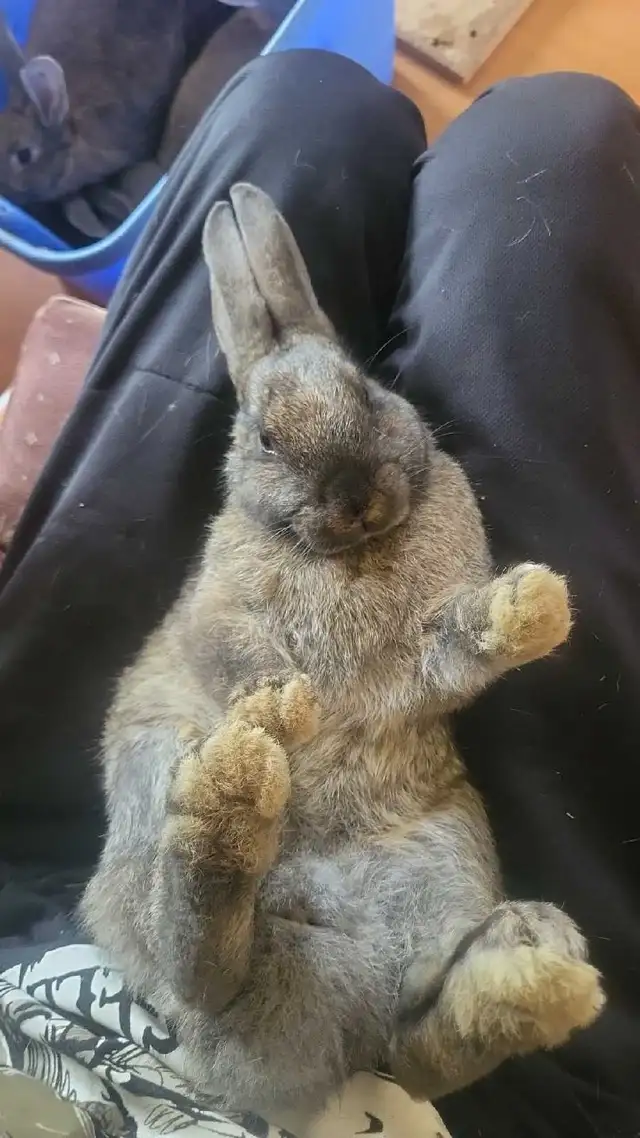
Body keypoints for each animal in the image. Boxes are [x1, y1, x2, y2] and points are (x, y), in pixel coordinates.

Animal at [80, 183, 605, 1118]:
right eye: (264, 438)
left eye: (365, 390)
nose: (354, 495)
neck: (349, 550)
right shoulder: (219, 610)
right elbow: (237, 648)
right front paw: (284, 706)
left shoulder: (427, 646)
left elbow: (458, 642)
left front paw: (533, 605)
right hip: (151, 773)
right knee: (205, 977)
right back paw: (231, 797)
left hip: (442, 867)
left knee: (421, 1045)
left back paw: (525, 974)